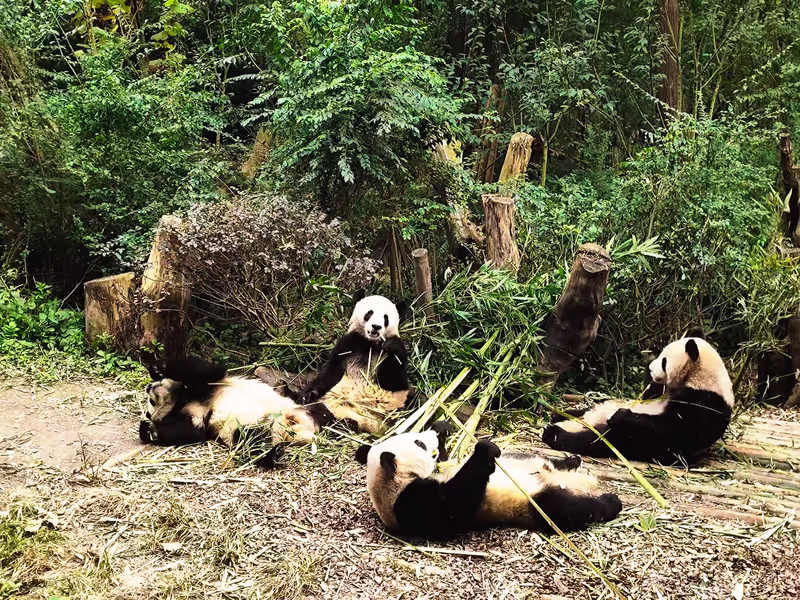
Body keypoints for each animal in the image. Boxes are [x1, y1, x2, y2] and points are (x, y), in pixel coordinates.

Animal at [139, 357, 334, 455]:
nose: (148, 387)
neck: (182, 400)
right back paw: (272, 452)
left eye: (150, 401)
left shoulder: (208, 384)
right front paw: (149, 430)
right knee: (251, 438)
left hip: (299, 406)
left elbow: (204, 371)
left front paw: (157, 368)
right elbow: (189, 432)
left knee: (323, 411)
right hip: (245, 428)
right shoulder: (196, 417)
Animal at [295, 289, 412, 434]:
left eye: (385, 318)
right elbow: (330, 373)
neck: (370, 343)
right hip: (333, 406)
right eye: (369, 313)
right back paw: (345, 424)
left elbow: (394, 381)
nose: (376, 326)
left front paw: (389, 345)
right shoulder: (348, 346)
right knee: (319, 412)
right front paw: (307, 395)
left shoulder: (396, 357)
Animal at [354, 422, 622, 540]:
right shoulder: (409, 504)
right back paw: (611, 502)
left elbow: (447, 459)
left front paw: (442, 427)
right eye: (418, 443)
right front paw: (485, 449)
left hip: (529, 461)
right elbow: (453, 507)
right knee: (567, 509)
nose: (429, 435)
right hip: (531, 503)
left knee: (544, 461)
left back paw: (571, 461)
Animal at [542, 337, 734, 464]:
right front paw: (652, 351)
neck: (701, 376)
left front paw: (621, 416)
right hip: (602, 407)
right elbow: (649, 394)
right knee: (586, 411)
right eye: (661, 356)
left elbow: (675, 429)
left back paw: (554, 433)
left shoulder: (705, 403)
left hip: (636, 441)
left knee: (599, 439)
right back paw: (560, 415)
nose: (652, 368)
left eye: (664, 362)